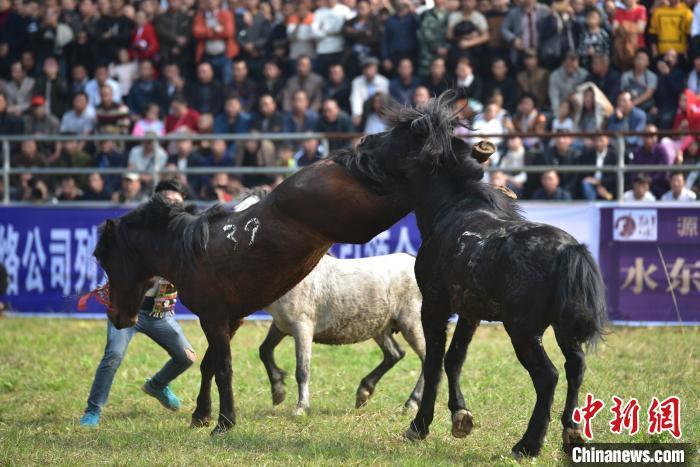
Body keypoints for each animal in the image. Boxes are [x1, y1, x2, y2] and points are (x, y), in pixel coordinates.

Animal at [93, 160, 410, 436]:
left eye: (104, 257)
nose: (116, 316)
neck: (190, 252)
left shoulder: (216, 318)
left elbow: (224, 368)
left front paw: (224, 422)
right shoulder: (232, 319)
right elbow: (212, 364)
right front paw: (202, 415)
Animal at [330, 93, 604, 458]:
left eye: (397, 136)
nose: (362, 143)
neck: (451, 209)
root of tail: (568, 250)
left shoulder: (434, 307)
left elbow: (433, 361)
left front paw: (419, 425)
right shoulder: (470, 312)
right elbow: (454, 358)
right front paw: (460, 415)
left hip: (523, 330)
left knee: (547, 376)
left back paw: (528, 444)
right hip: (562, 328)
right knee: (576, 366)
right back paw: (571, 433)